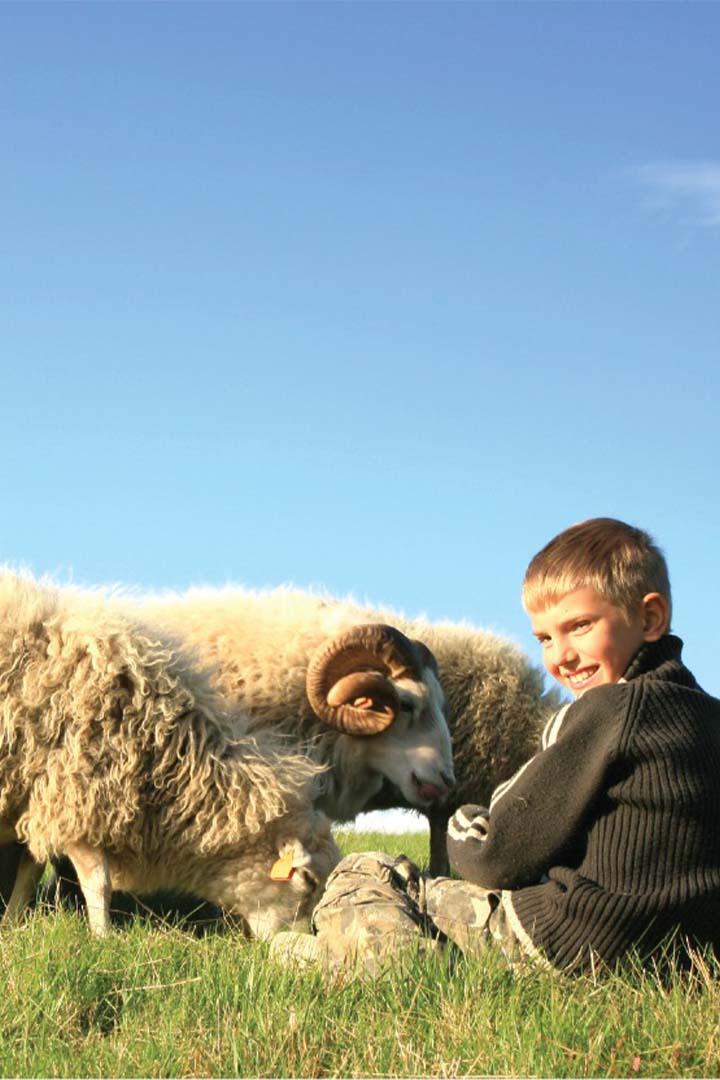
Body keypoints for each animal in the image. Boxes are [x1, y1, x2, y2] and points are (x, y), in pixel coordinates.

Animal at [0, 574, 338, 937]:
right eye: (308, 880)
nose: (305, 937)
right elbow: (98, 880)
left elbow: (30, 868)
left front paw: (13, 922)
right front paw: (103, 936)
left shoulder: (37, 798)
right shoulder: (75, 796)